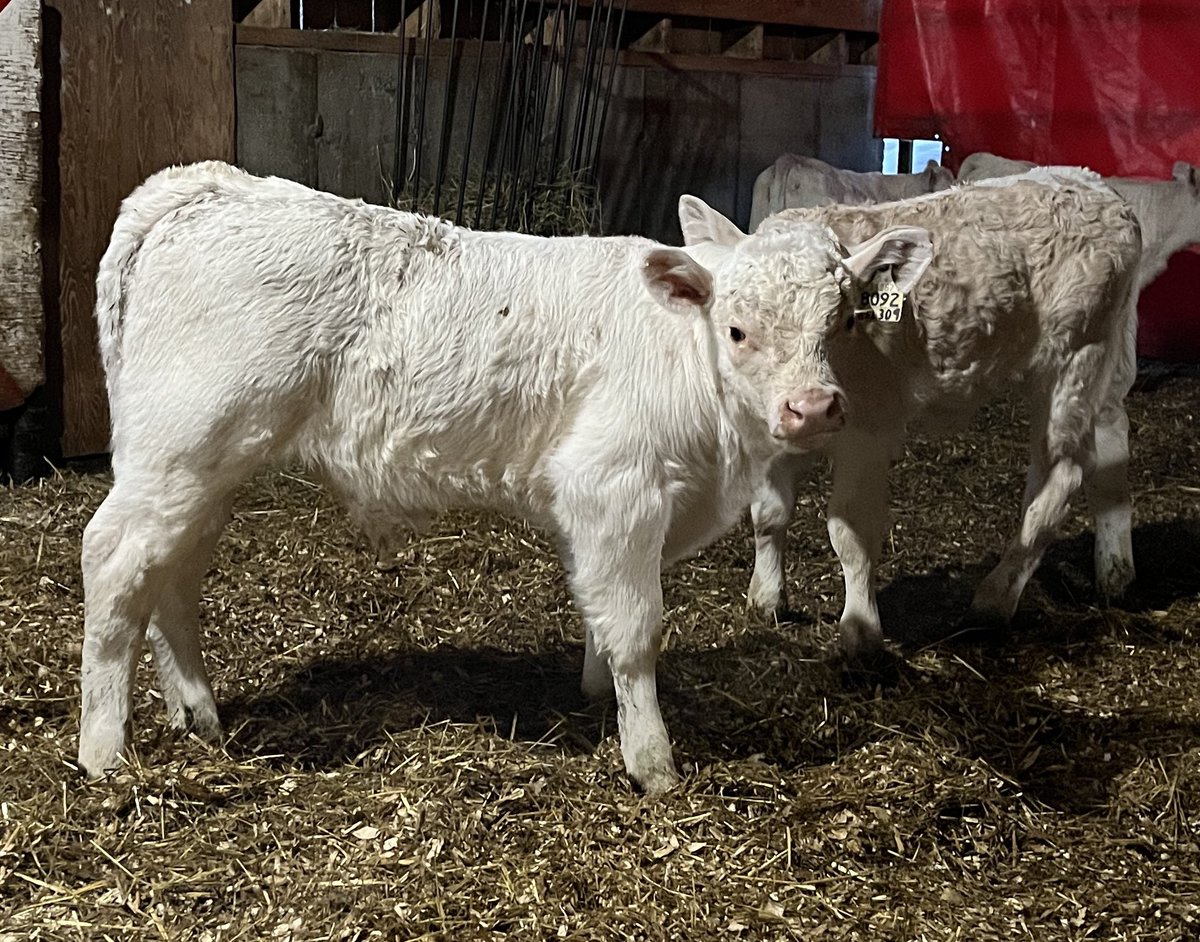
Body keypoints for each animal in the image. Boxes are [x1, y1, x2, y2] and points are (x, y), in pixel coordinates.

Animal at [78, 161, 931, 792]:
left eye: (843, 321)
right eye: (737, 330)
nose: (814, 408)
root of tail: (207, 184)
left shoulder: (605, 511)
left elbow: (597, 606)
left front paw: (595, 692)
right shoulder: (614, 486)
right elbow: (636, 626)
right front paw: (652, 761)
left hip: (202, 470)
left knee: (174, 577)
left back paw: (198, 711)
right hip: (180, 451)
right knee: (115, 564)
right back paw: (103, 751)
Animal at [681, 176, 1142, 658]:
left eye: (847, 321)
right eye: (736, 330)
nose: (812, 408)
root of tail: (1096, 187)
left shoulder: (869, 430)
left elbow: (851, 533)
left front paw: (861, 632)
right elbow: (768, 514)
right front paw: (767, 598)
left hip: (1074, 357)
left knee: (1059, 477)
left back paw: (993, 601)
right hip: (1102, 367)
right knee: (1111, 446)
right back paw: (1115, 572)